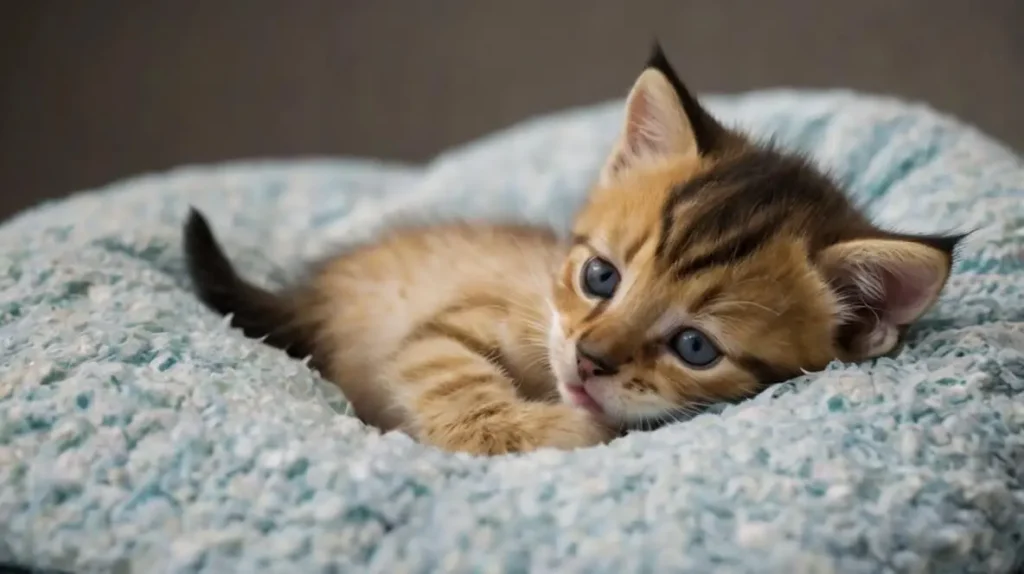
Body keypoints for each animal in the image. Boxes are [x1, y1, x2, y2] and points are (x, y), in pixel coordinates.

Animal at [182, 44, 958, 454]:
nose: (588, 360)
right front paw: (558, 428)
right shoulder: (456, 323)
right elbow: (453, 376)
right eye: (600, 277)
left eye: (696, 347)